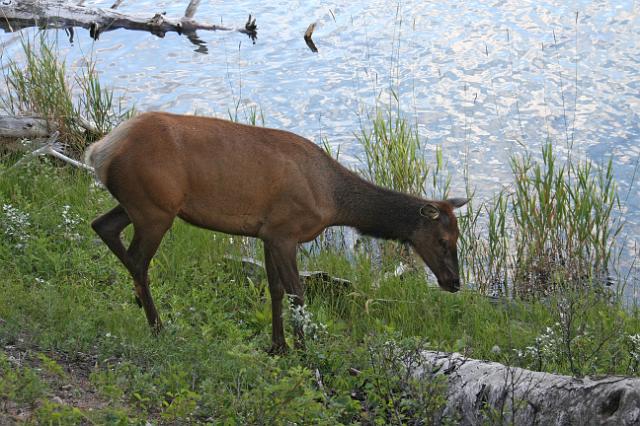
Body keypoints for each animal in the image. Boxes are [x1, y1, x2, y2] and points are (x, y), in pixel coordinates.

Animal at [85, 111, 468, 354]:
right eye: (443, 240)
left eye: (460, 238)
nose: (455, 282)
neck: (332, 201)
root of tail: (97, 151)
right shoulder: (286, 232)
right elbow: (298, 293)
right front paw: (303, 349)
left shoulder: (267, 233)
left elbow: (275, 290)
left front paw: (278, 345)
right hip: (155, 210)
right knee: (138, 260)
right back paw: (157, 325)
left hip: (142, 205)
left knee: (102, 226)